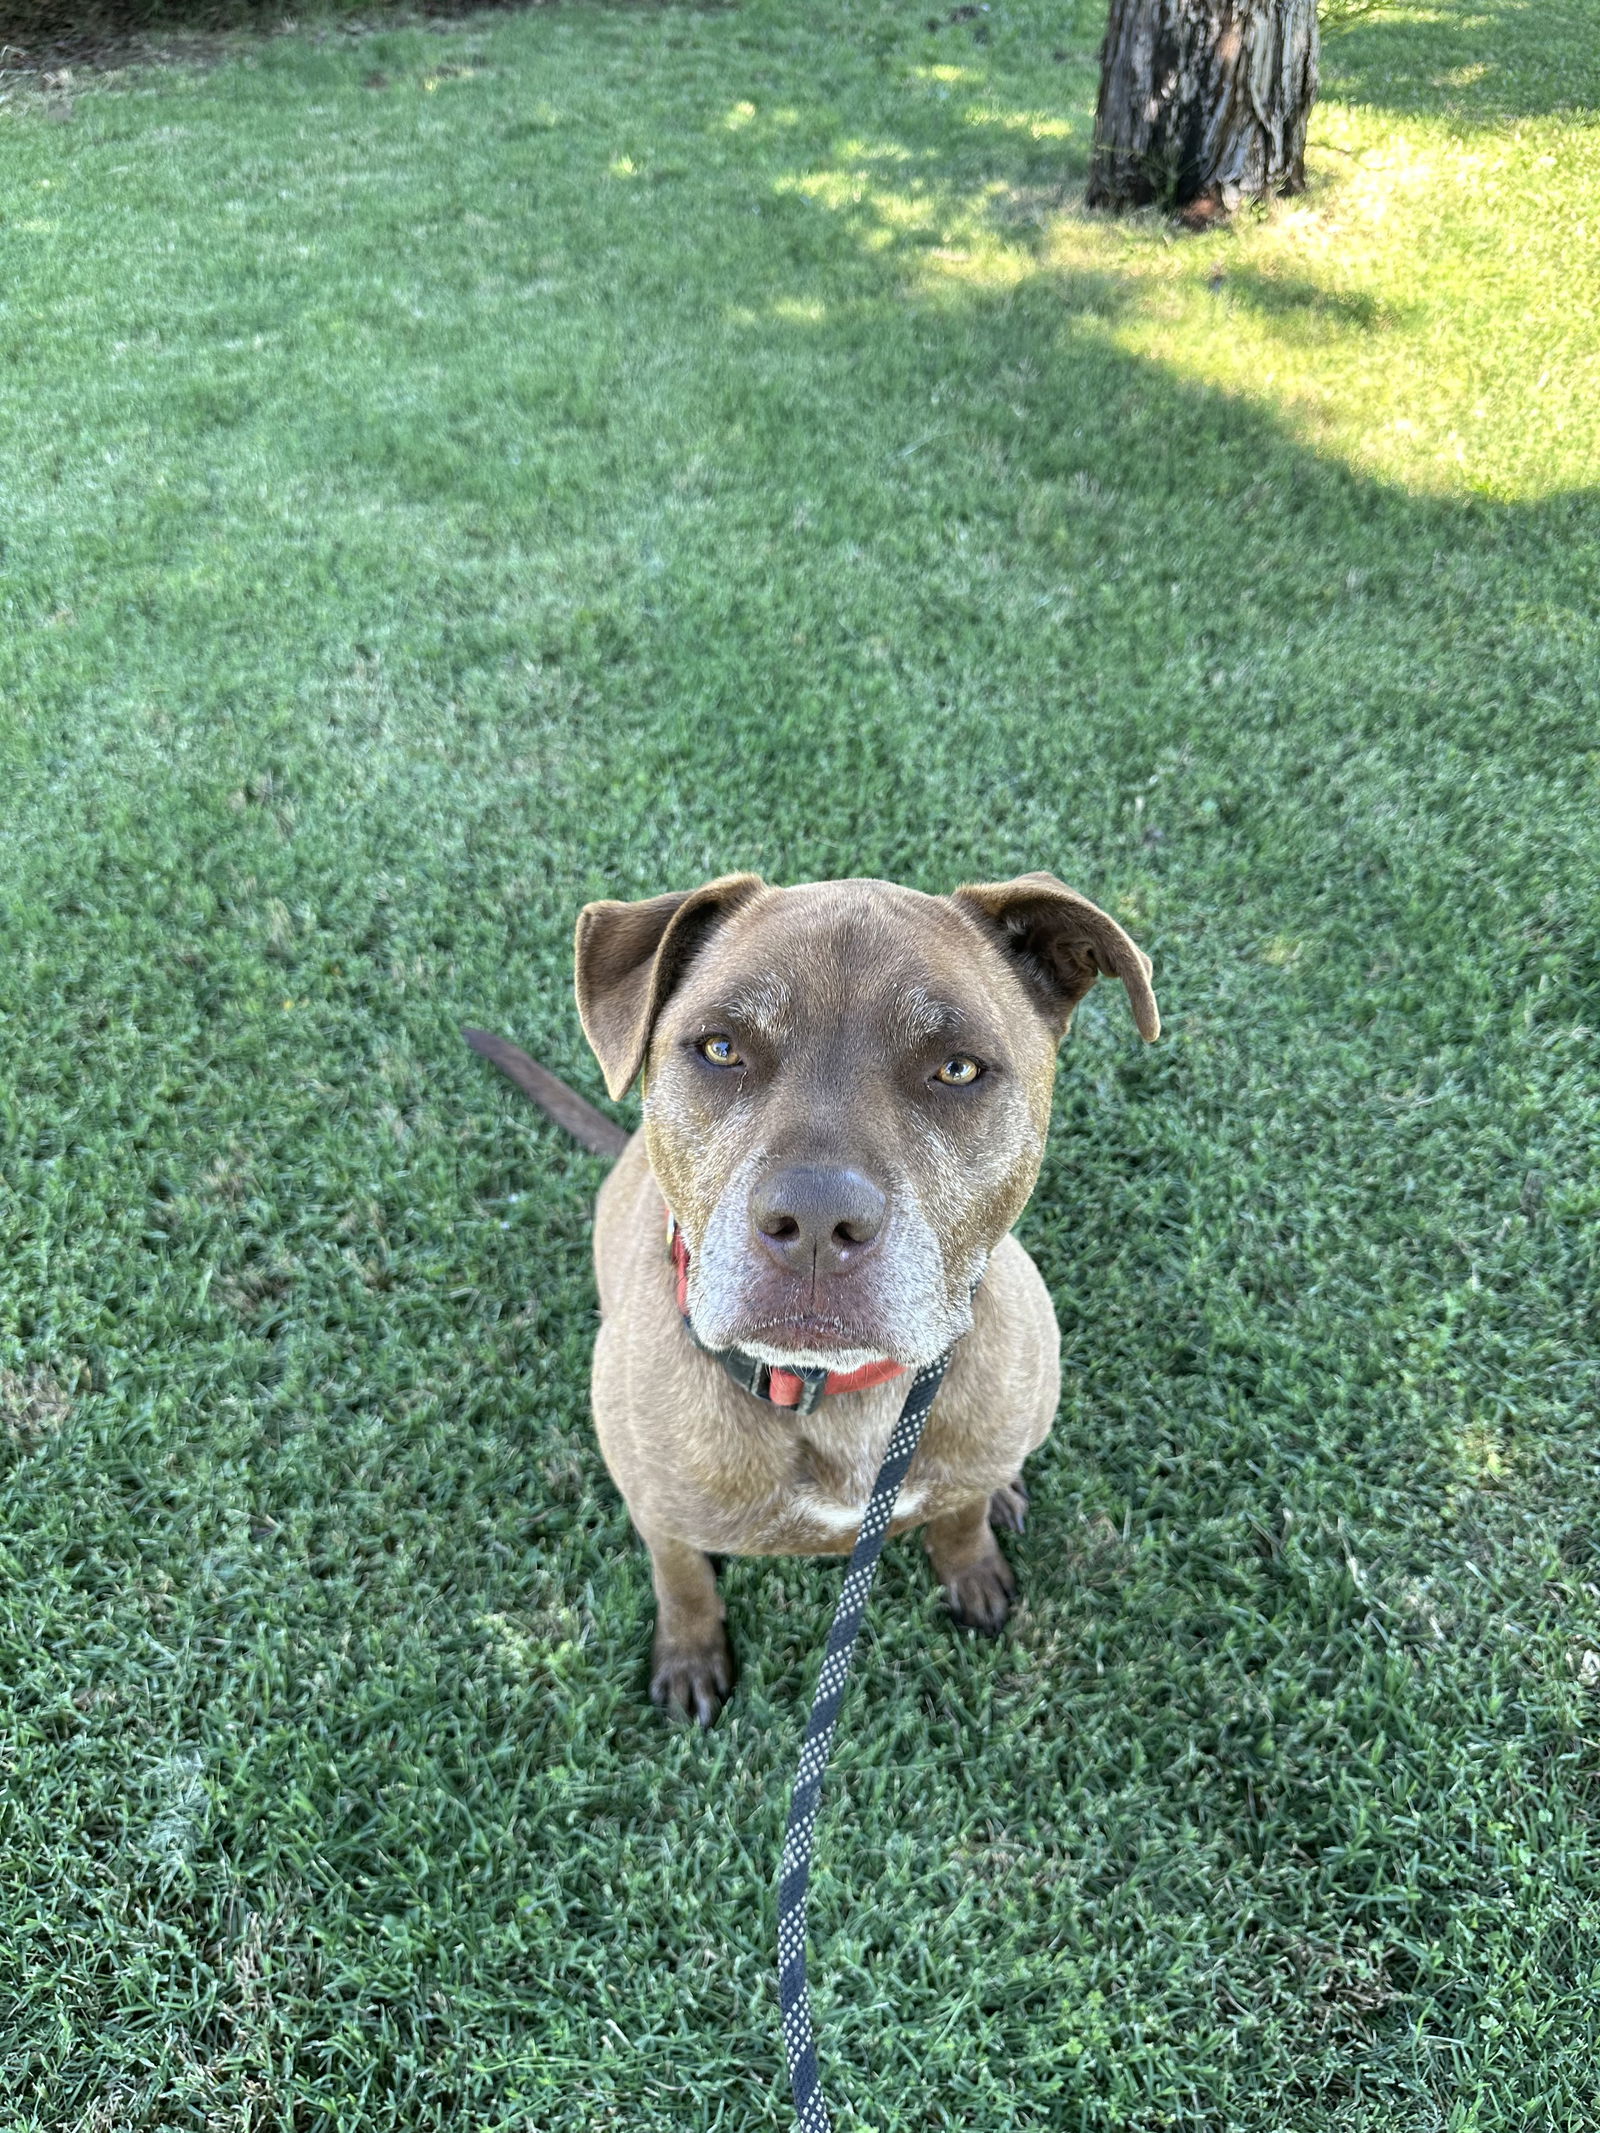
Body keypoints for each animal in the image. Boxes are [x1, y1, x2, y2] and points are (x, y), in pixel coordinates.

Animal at [558, 874, 1160, 1723]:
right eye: (720, 1048)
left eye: (957, 1068)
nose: (815, 1221)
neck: (840, 1392)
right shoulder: (659, 1512)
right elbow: (680, 1576)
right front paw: (689, 1650)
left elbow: (962, 1517)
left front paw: (972, 1563)